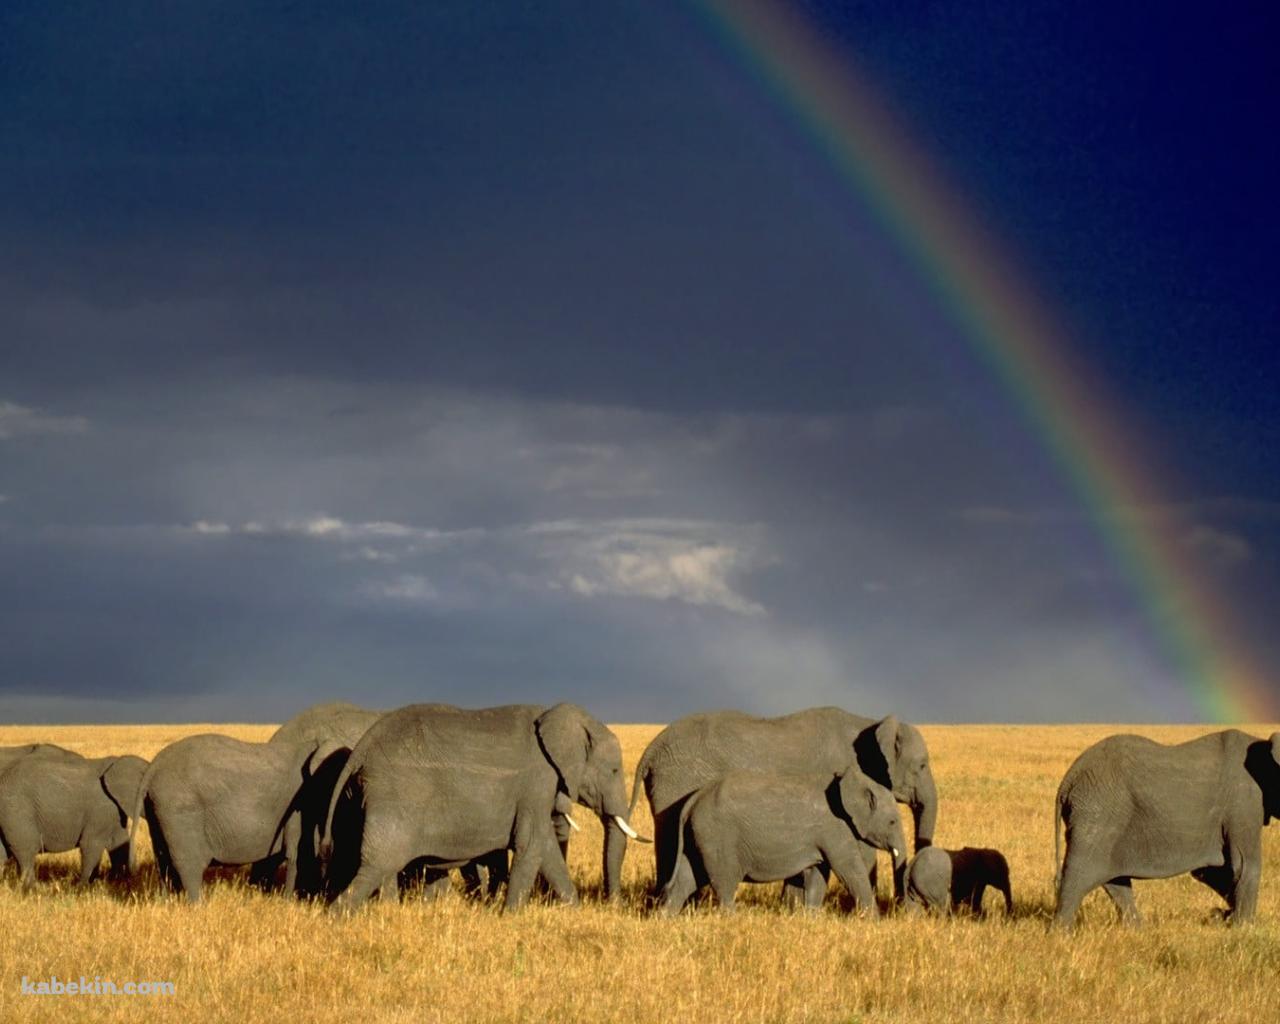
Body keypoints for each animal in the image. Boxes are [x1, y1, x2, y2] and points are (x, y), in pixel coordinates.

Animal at [0, 746, 148, 889]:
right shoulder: (100, 809)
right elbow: (91, 844)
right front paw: (82, 889)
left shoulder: (115, 812)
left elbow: (120, 843)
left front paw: (120, 884)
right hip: (16, 811)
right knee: (27, 850)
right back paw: (34, 890)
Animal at [130, 733, 344, 902]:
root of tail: (153, 767)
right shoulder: (303, 803)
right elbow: (297, 854)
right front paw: (289, 903)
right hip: (180, 809)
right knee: (188, 865)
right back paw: (197, 908)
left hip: (158, 810)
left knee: (163, 862)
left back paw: (166, 904)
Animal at [325, 703, 643, 912]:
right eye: (614, 770)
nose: (614, 908)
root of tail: (362, 747)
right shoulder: (537, 782)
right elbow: (532, 843)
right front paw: (509, 916)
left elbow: (547, 849)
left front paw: (573, 911)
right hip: (396, 793)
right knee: (379, 862)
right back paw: (336, 917)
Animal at [658, 766, 907, 916]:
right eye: (892, 821)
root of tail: (694, 799)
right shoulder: (834, 828)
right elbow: (849, 869)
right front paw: (875, 923)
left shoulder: (822, 834)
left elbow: (819, 873)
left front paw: (811, 919)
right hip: (718, 836)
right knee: (724, 882)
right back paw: (732, 919)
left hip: (700, 836)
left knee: (687, 878)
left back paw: (666, 919)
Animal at [1054, 729, 1280, 927]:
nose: (1220, 913)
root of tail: (1068, 779)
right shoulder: (1244, 802)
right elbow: (1243, 865)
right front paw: (1243, 926)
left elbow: (1211, 871)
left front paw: (1221, 917)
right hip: (1098, 810)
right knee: (1079, 873)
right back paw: (1062, 934)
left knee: (1114, 880)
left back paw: (1137, 929)